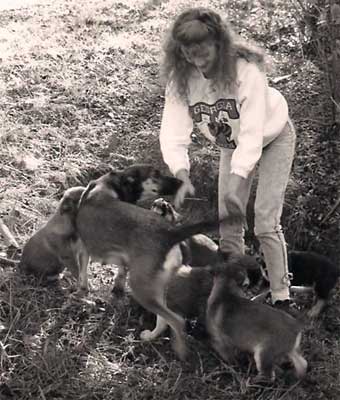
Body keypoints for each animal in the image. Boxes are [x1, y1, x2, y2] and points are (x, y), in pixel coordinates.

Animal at [75, 180, 239, 360]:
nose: (160, 200)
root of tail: (170, 233)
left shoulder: (83, 251)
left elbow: (82, 273)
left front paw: (82, 291)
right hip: (160, 288)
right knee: (164, 320)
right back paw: (151, 337)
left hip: (142, 289)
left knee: (176, 320)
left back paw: (180, 351)